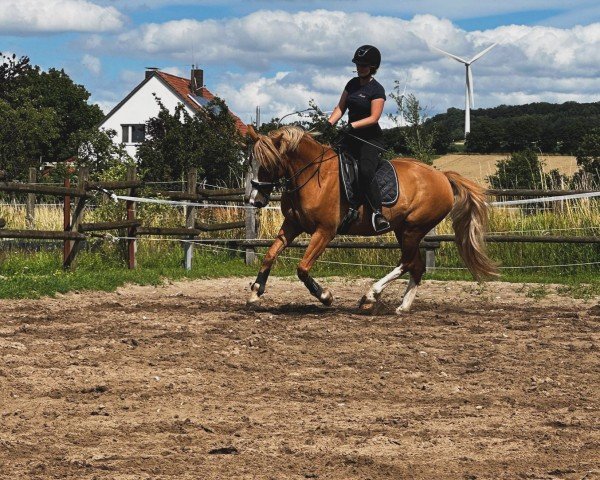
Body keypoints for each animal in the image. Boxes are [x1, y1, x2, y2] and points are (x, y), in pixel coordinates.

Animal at [244, 124, 496, 314]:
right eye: (250, 163)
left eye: (268, 164)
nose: (255, 200)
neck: (313, 176)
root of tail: (442, 176)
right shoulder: (292, 225)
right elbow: (270, 254)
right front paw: (256, 291)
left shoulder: (325, 231)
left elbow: (302, 268)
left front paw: (325, 296)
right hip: (403, 230)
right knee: (416, 266)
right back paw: (403, 307)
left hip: (413, 229)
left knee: (406, 263)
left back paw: (370, 295)